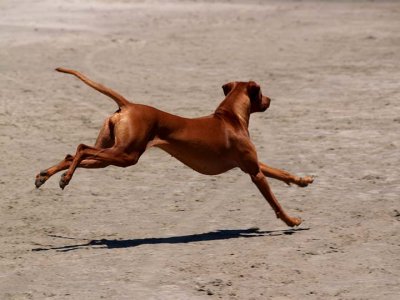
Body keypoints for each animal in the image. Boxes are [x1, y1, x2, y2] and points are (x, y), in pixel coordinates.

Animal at [36, 68, 314, 227]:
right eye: (262, 93)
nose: (270, 101)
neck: (230, 117)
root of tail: (128, 105)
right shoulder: (254, 172)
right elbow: (275, 202)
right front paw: (291, 220)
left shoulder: (253, 164)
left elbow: (282, 173)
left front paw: (303, 180)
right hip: (125, 155)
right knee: (81, 147)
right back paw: (65, 179)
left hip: (111, 155)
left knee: (70, 154)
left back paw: (45, 176)